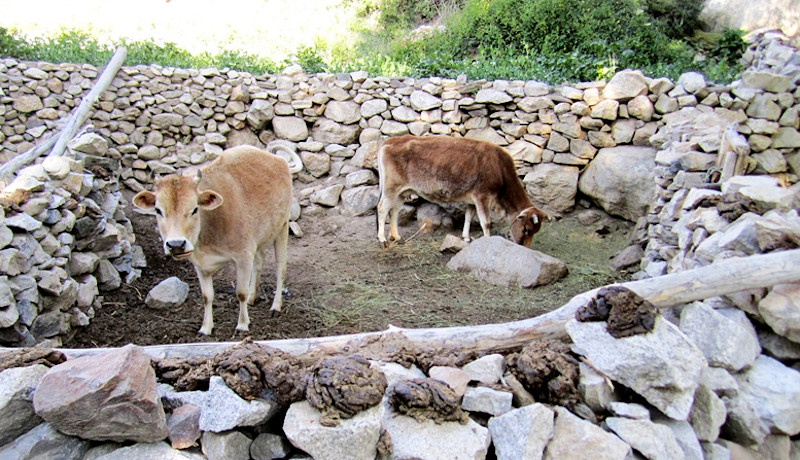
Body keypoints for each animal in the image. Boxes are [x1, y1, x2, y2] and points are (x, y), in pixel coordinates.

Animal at [378, 134, 548, 246]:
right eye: (526, 229)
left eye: (535, 231)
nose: (524, 246)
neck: (499, 167)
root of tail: (392, 140)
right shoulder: (482, 196)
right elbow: (485, 222)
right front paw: (488, 241)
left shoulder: (472, 199)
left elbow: (468, 216)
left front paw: (466, 237)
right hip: (391, 188)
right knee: (382, 208)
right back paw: (382, 238)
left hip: (402, 192)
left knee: (394, 211)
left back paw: (397, 237)